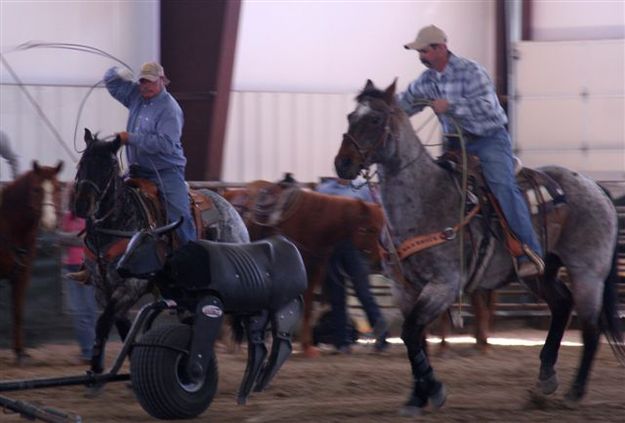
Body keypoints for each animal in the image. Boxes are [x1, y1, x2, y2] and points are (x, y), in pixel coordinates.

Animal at [0, 161, 63, 362]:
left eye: (58, 188)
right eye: (36, 189)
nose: (49, 222)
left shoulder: (22, 275)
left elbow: (18, 311)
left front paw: (20, 352)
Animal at [73, 128, 249, 374]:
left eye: (108, 168)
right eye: (82, 163)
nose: (81, 206)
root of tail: (233, 211)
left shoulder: (132, 285)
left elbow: (105, 321)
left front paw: (97, 365)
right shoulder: (102, 287)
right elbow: (121, 325)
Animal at [222, 181, 382, 358]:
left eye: (379, 228)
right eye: (369, 229)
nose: (378, 260)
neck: (311, 221)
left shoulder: (314, 272)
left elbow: (308, 307)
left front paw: (307, 347)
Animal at [334, 80, 624, 418]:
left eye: (375, 119)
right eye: (350, 116)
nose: (342, 163)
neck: (424, 197)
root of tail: (595, 186)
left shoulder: (445, 284)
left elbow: (410, 332)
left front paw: (434, 391)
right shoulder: (403, 289)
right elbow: (415, 337)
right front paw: (416, 398)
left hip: (587, 272)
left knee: (590, 328)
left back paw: (574, 392)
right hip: (539, 273)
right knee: (562, 305)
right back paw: (545, 379)